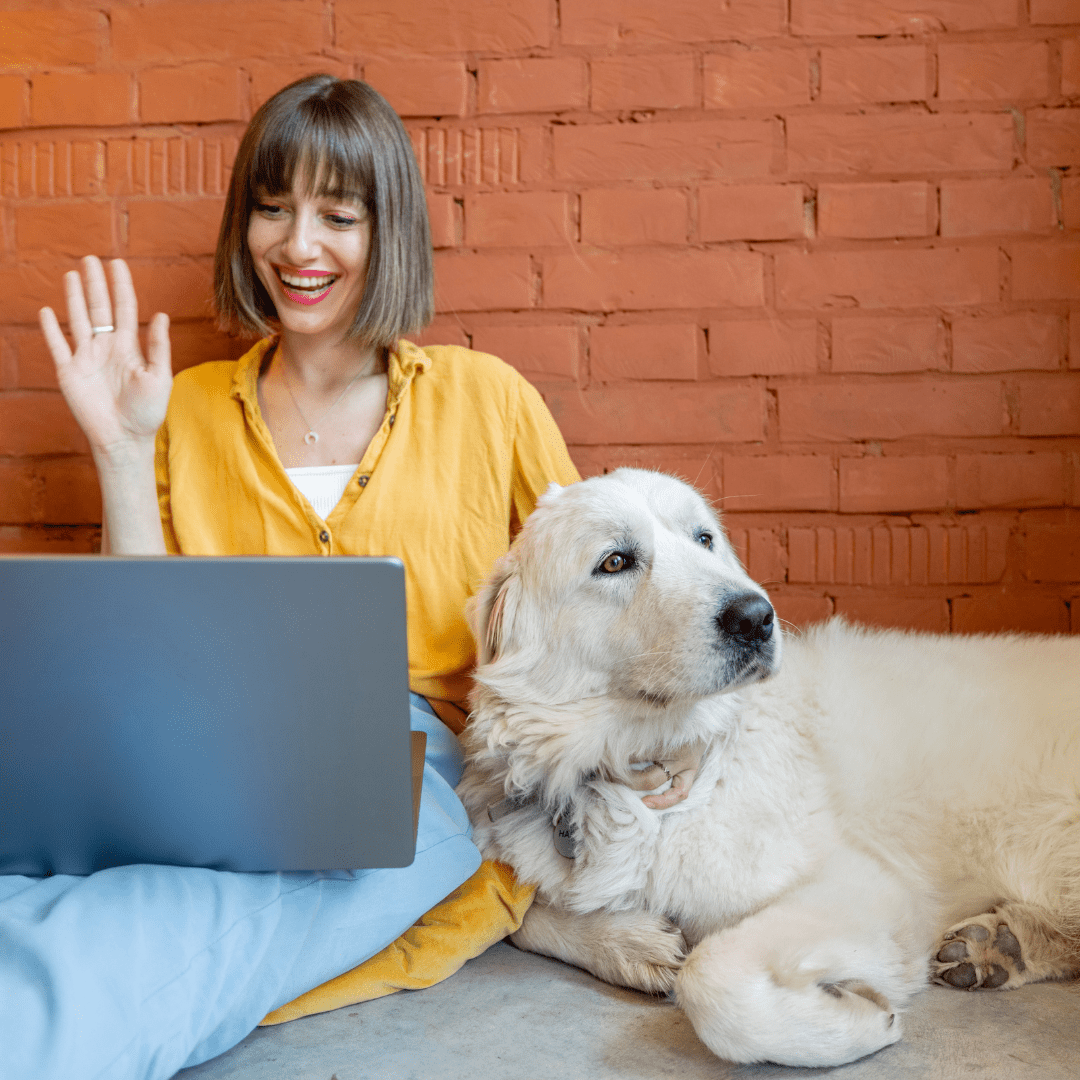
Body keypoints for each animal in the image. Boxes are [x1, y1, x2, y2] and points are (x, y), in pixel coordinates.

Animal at [455, 468, 1080, 1067]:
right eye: (615, 562)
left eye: (704, 539)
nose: (755, 616)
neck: (625, 775)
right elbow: (520, 921)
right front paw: (631, 944)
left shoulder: (866, 886)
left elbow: (711, 978)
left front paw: (858, 1024)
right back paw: (1002, 945)